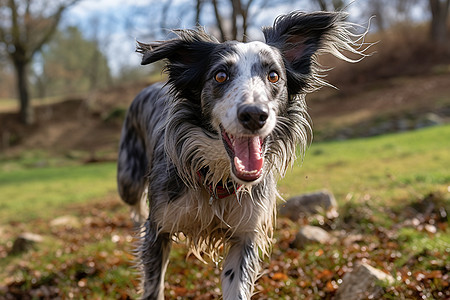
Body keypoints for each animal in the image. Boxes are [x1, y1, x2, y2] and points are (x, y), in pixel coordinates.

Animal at [116, 10, 366, 298]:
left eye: (273, 76)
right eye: (220, 76)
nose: (254, 114)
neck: (217, 180)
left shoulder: (246, 236)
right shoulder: (159, 229)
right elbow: (153, 285)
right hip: (128, 181)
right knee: (135, 205)